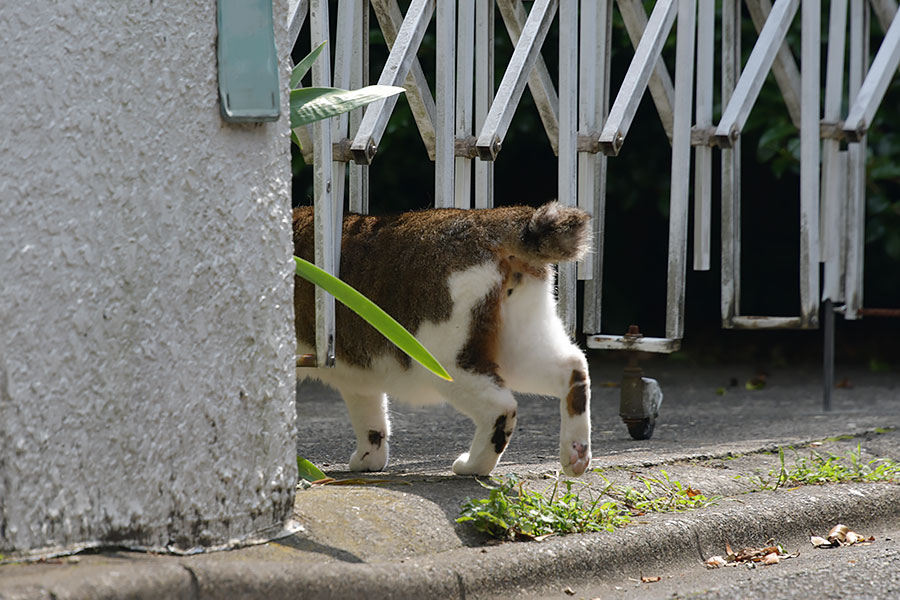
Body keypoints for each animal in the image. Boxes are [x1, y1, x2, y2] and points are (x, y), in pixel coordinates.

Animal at [292, 204, 596, 476]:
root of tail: (497, 218)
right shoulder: (358, 378)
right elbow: (371, 418)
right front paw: (370, 458)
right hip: (517, 346)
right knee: (573, 367)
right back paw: (576, 452)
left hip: (446, 360)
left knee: (501, 408)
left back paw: (473, 466)